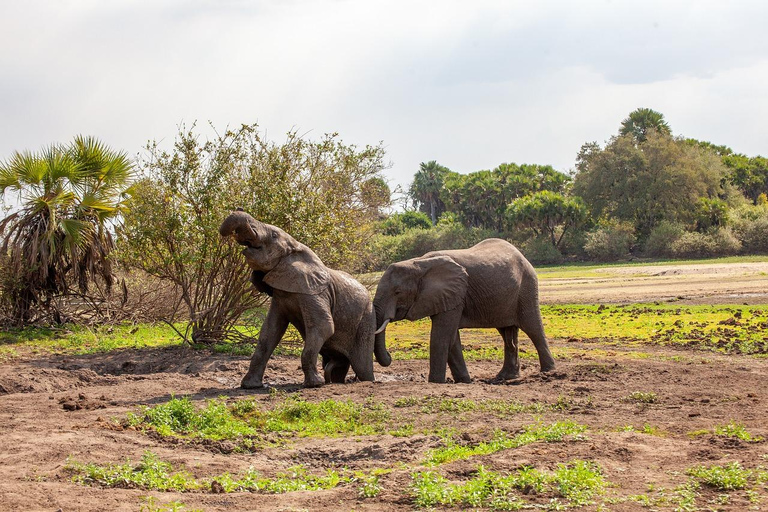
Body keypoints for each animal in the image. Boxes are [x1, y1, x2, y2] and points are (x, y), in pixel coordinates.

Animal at [220, 210, 390, 386]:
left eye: (273, 235)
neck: (297, 247)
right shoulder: (280, 295)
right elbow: (270, 331)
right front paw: (249, 386)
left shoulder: (314, 293)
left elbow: (323, 326)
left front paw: (315, 384)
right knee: (341, 363)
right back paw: (335, 380)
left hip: (366, 322)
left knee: (363, 367)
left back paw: (365, 381)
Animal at [370, 238, 552, 382]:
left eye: (397, 292)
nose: (390, 356)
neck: (419, 264)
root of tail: (522, 256)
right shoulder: (445, 297)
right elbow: (452, 339)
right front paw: (464, 381)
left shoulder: (455, 294)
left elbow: (441, 337)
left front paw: (435, 382)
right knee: (507, 332)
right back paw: (506, 377)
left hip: (527, 287)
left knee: (533, 327)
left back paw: (548, 372)